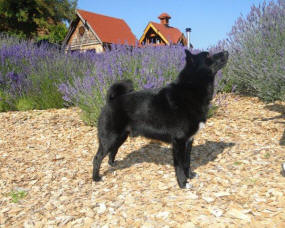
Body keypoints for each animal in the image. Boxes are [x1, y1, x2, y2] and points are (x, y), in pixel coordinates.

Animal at [92, 50, 227, 189]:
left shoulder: (189, 140)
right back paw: (96, 178)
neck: (190, 90)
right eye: (208, 55)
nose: (226, 52)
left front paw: (189, 176)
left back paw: (112, 165)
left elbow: (187, 162)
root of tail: (110, 101)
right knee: (97, 158)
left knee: (113, 151)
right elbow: (179, 165)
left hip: (120, 136)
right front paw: (183, 183)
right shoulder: (179, 141)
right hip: (109, 138)